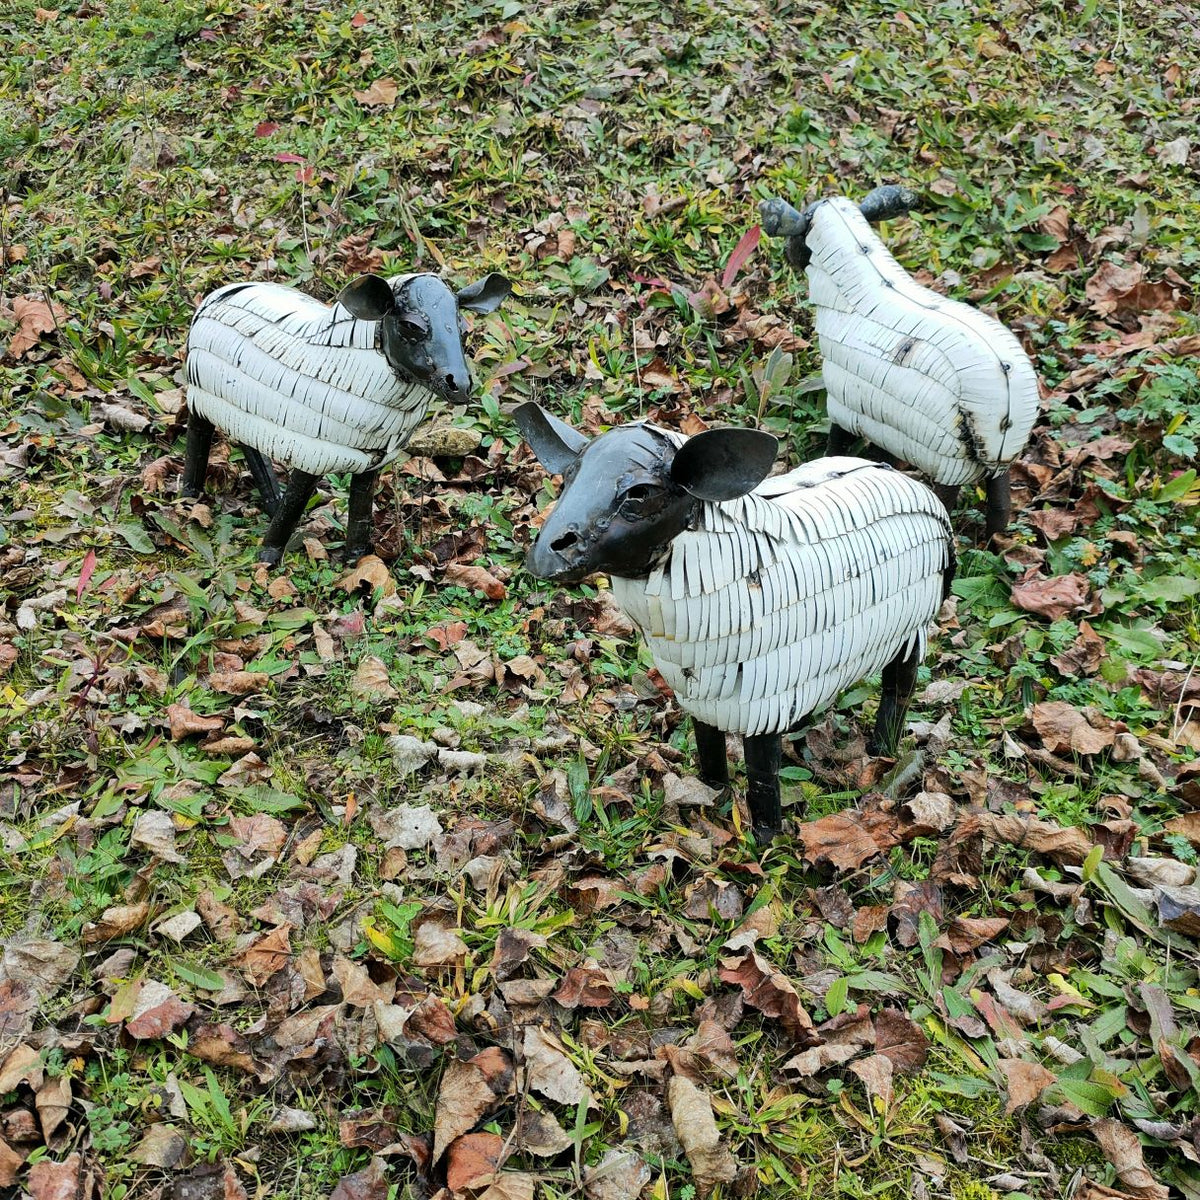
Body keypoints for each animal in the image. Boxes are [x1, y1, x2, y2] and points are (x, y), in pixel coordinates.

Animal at [182, 269, 510, 565]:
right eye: (410, 326)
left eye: (463, 328)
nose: (460, 385)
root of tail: (215, 295)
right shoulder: (312, 452)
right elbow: (296, 502)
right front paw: (268, 558)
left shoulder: (369, 458)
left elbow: (361, 508)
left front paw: (356, 560)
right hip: (200, 395)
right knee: (198, 435)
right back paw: (189, 496)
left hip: (239, 404)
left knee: (247, 442)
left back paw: (270, 498)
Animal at [514, 403, 955, 844]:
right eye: (570, 476)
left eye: (640, 493)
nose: (546, 554)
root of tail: (921, 491)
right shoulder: (704, 688)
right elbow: (708, 745)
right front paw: (711, 796)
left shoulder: (760, 697)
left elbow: (761, 775)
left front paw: (766, 841)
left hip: (910, 630)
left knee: (899, 689)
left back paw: (884, 753)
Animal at [759, 186, 1040, 539]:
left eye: (800, 235)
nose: (787, 256)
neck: (857, 294)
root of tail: (1006, 406)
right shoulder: (880, 417)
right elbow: (881, 453)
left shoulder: (843, 403)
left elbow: (836, 446)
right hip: (999, 461)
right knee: (1000, 503)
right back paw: (992, 541)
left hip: (949, 458)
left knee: (946, 499)